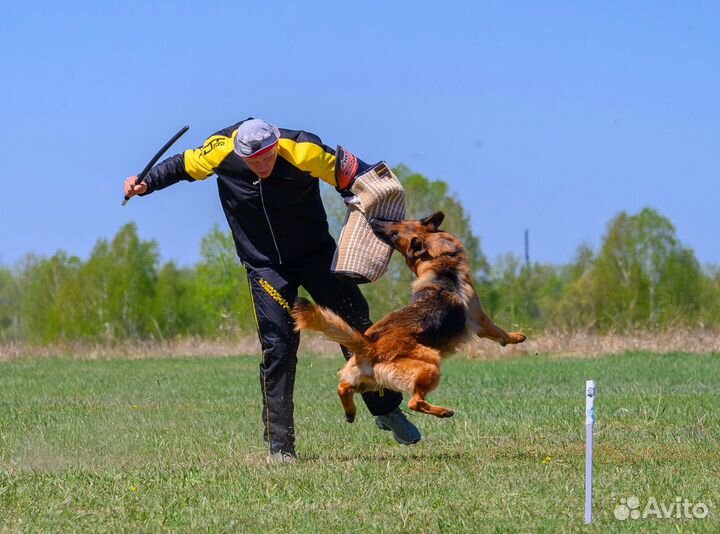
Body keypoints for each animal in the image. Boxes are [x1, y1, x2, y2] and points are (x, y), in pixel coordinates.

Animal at [290, 211, 524, 426]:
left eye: (397, 225)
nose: (373, 220)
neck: (440, 259)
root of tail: (370, 346)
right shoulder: (479, 319)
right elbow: (497, 331)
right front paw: (516, 337)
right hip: (430, 364)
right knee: (414, 402)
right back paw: (443, 412)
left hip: (369, 381)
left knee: (343, 387)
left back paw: (350, 413)